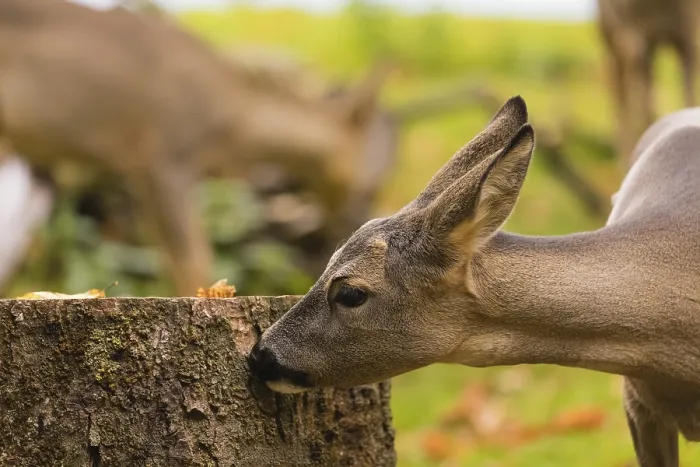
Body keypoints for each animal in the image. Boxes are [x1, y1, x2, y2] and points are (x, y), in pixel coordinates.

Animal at [0, 0, 393, 296]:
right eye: (370, 181)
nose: (358, 219)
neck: (238, 118)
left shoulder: (140, 171)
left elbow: (167, 256)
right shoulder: (169, 155)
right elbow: (193, 258)